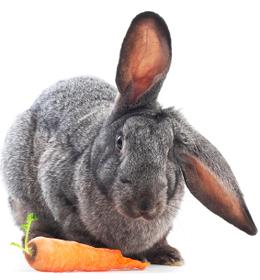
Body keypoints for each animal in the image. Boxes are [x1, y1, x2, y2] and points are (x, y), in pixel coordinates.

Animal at [2, 10, 256, 264]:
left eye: (169, 153)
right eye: (120, 142)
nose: (145, 202)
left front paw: (168, 256)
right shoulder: (59, 195)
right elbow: (77, 231)